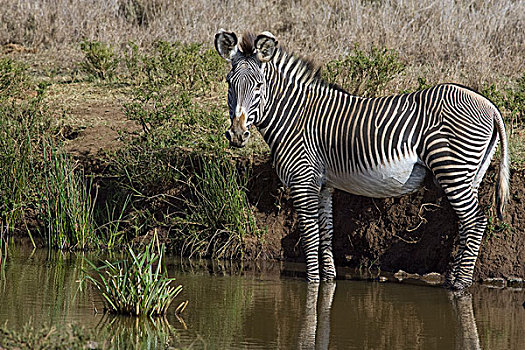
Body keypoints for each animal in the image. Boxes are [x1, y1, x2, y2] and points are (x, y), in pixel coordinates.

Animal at [213, 29, 508, 290]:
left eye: (259, 86)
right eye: (229, 83)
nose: (237, 135)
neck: (294, 116)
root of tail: (489, 105)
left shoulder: (303, 180)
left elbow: (309, 233)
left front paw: (312, 282)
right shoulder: (324, 185)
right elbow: (326, 231)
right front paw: (329, 279)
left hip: (452, 168)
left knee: (476, 221)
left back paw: (461, 284)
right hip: (471, 173)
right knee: (466, 223)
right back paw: (452, 279)